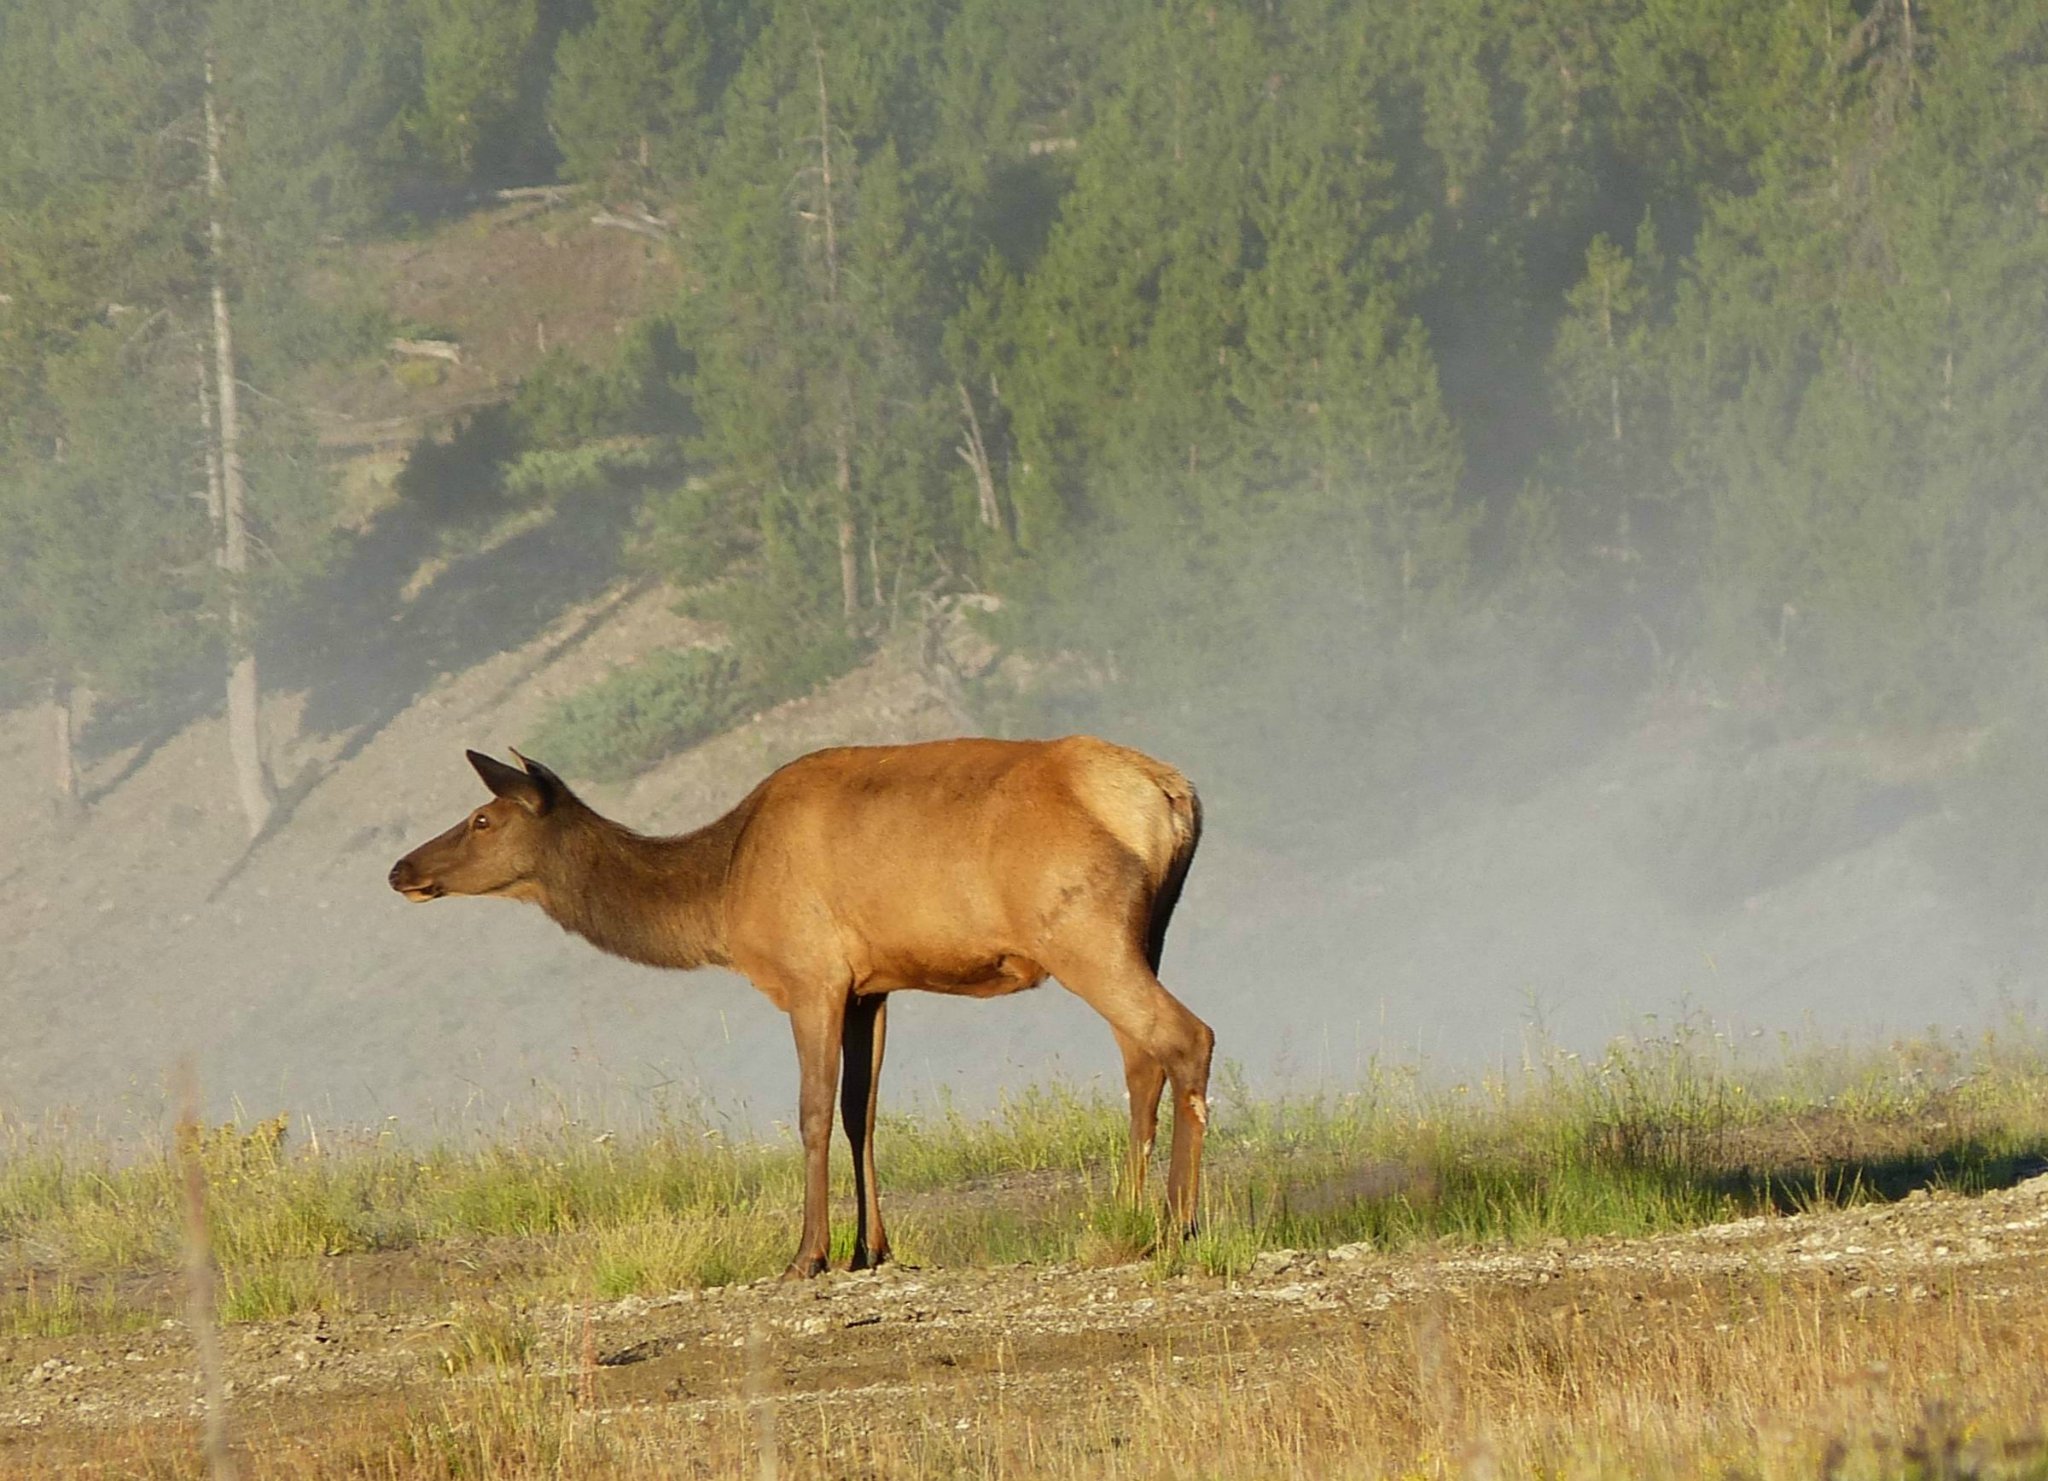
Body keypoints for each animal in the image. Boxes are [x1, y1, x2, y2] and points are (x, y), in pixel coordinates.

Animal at [391, 737, 1204, 1278]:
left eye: (482, 819)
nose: (401, 868)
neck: (720, 893)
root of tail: (1172, 796)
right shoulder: (871, 985)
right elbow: (860, 1112)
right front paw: (869, 1248)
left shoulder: (810, 973)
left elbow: (812, 1109)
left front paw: (807, 1253)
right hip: (1147, 931)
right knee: (1142, 1062)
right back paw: (1137, 1212)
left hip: (1081, 929)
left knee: (1186, 1037)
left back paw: (1177, 1223)